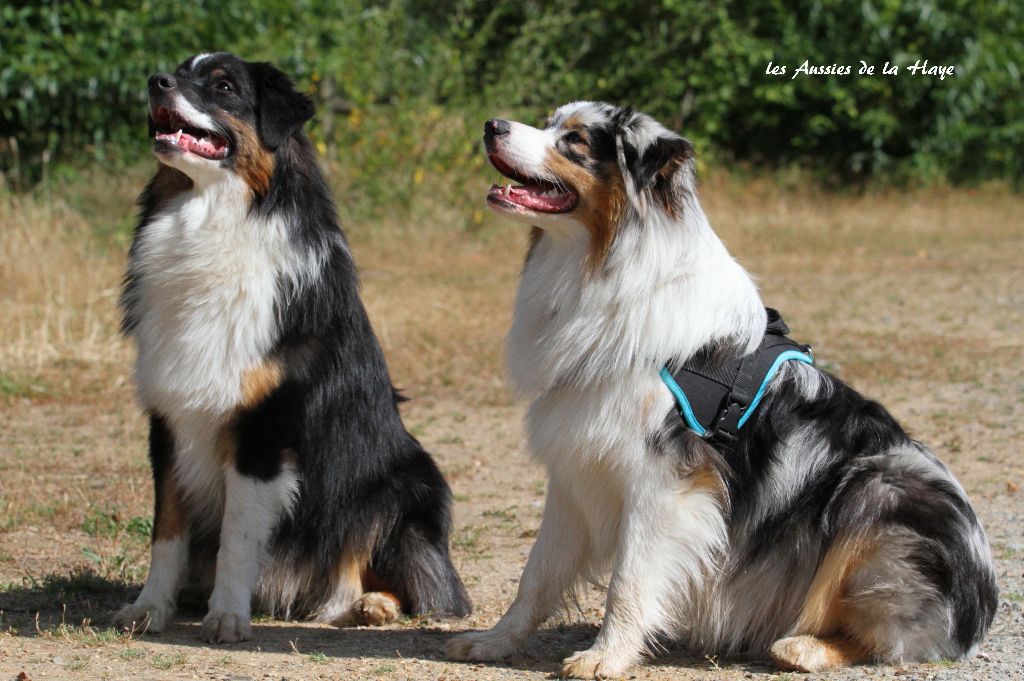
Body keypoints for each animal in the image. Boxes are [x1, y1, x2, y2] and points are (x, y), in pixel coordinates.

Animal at [115, 54, 471, 643]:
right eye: (178, 70)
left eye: (224, 86)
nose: (154, 82)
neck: (211, 217)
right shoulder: (169, 418)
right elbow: (166, 530)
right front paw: (149, 609)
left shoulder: (265, 428)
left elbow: (238, 536)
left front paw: (227, 616)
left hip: (409, 481)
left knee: (388, 572)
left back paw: (370, 605)